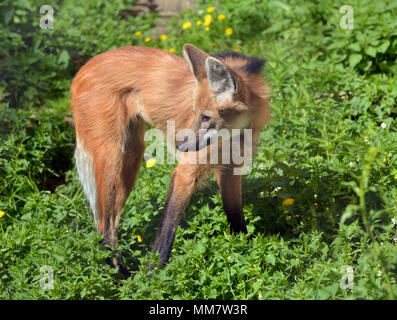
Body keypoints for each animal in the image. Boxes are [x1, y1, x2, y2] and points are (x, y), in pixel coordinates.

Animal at [70, 42, 270, 272]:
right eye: (195, 113)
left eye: (206, 117)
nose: (180, 145)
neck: (234, 135)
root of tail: (84, 68)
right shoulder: (185, 173)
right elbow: (166, 234)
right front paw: (152, 276)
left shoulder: (229, 169)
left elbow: (236, 218)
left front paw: (243, 252)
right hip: (113, 157)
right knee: (105, 226)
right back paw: (122, 275)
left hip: (130, 159)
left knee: (108, 222)